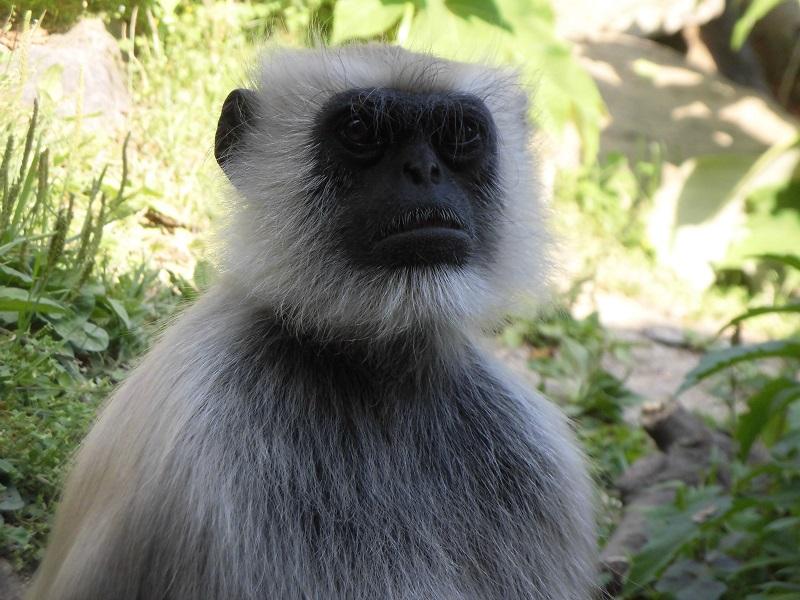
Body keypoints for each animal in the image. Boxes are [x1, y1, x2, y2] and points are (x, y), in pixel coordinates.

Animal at [28, 45, 596, 600]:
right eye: (360, 130)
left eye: (461, 135)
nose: (423, 172)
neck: (375, 375)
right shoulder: (207, 453)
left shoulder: (537, 453)